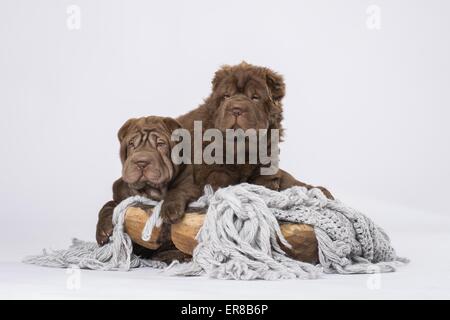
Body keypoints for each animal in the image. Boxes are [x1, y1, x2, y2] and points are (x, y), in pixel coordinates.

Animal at [96, 116, 200, 262]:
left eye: (160, 144)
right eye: (131, 144)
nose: (141, 162)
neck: (150, 190)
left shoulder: (191, 186)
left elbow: (178, 190)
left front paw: (170, 210)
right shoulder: (120, 193)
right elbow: (108, 205)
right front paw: (102, 230)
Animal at [177, 61, 334, 199]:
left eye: (255, 97)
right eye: (226, 96)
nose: (236, 109)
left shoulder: (267, 165)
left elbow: (283, 178)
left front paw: (318, 190)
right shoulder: (212, 170)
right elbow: (220, 179)